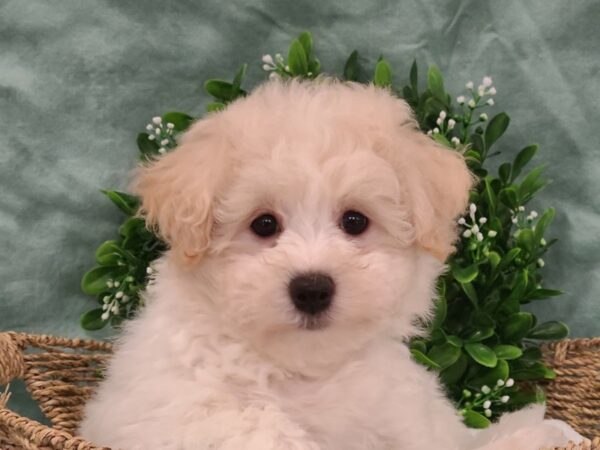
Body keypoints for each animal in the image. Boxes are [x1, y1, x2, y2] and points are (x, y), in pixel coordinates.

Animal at [79, 79, 580, 448]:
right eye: (264, 224)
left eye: (355, 221)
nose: (312, 288)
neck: (303, 372)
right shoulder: (183, 413)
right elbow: (257, 429)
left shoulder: (406, 416)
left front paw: (538, 430)